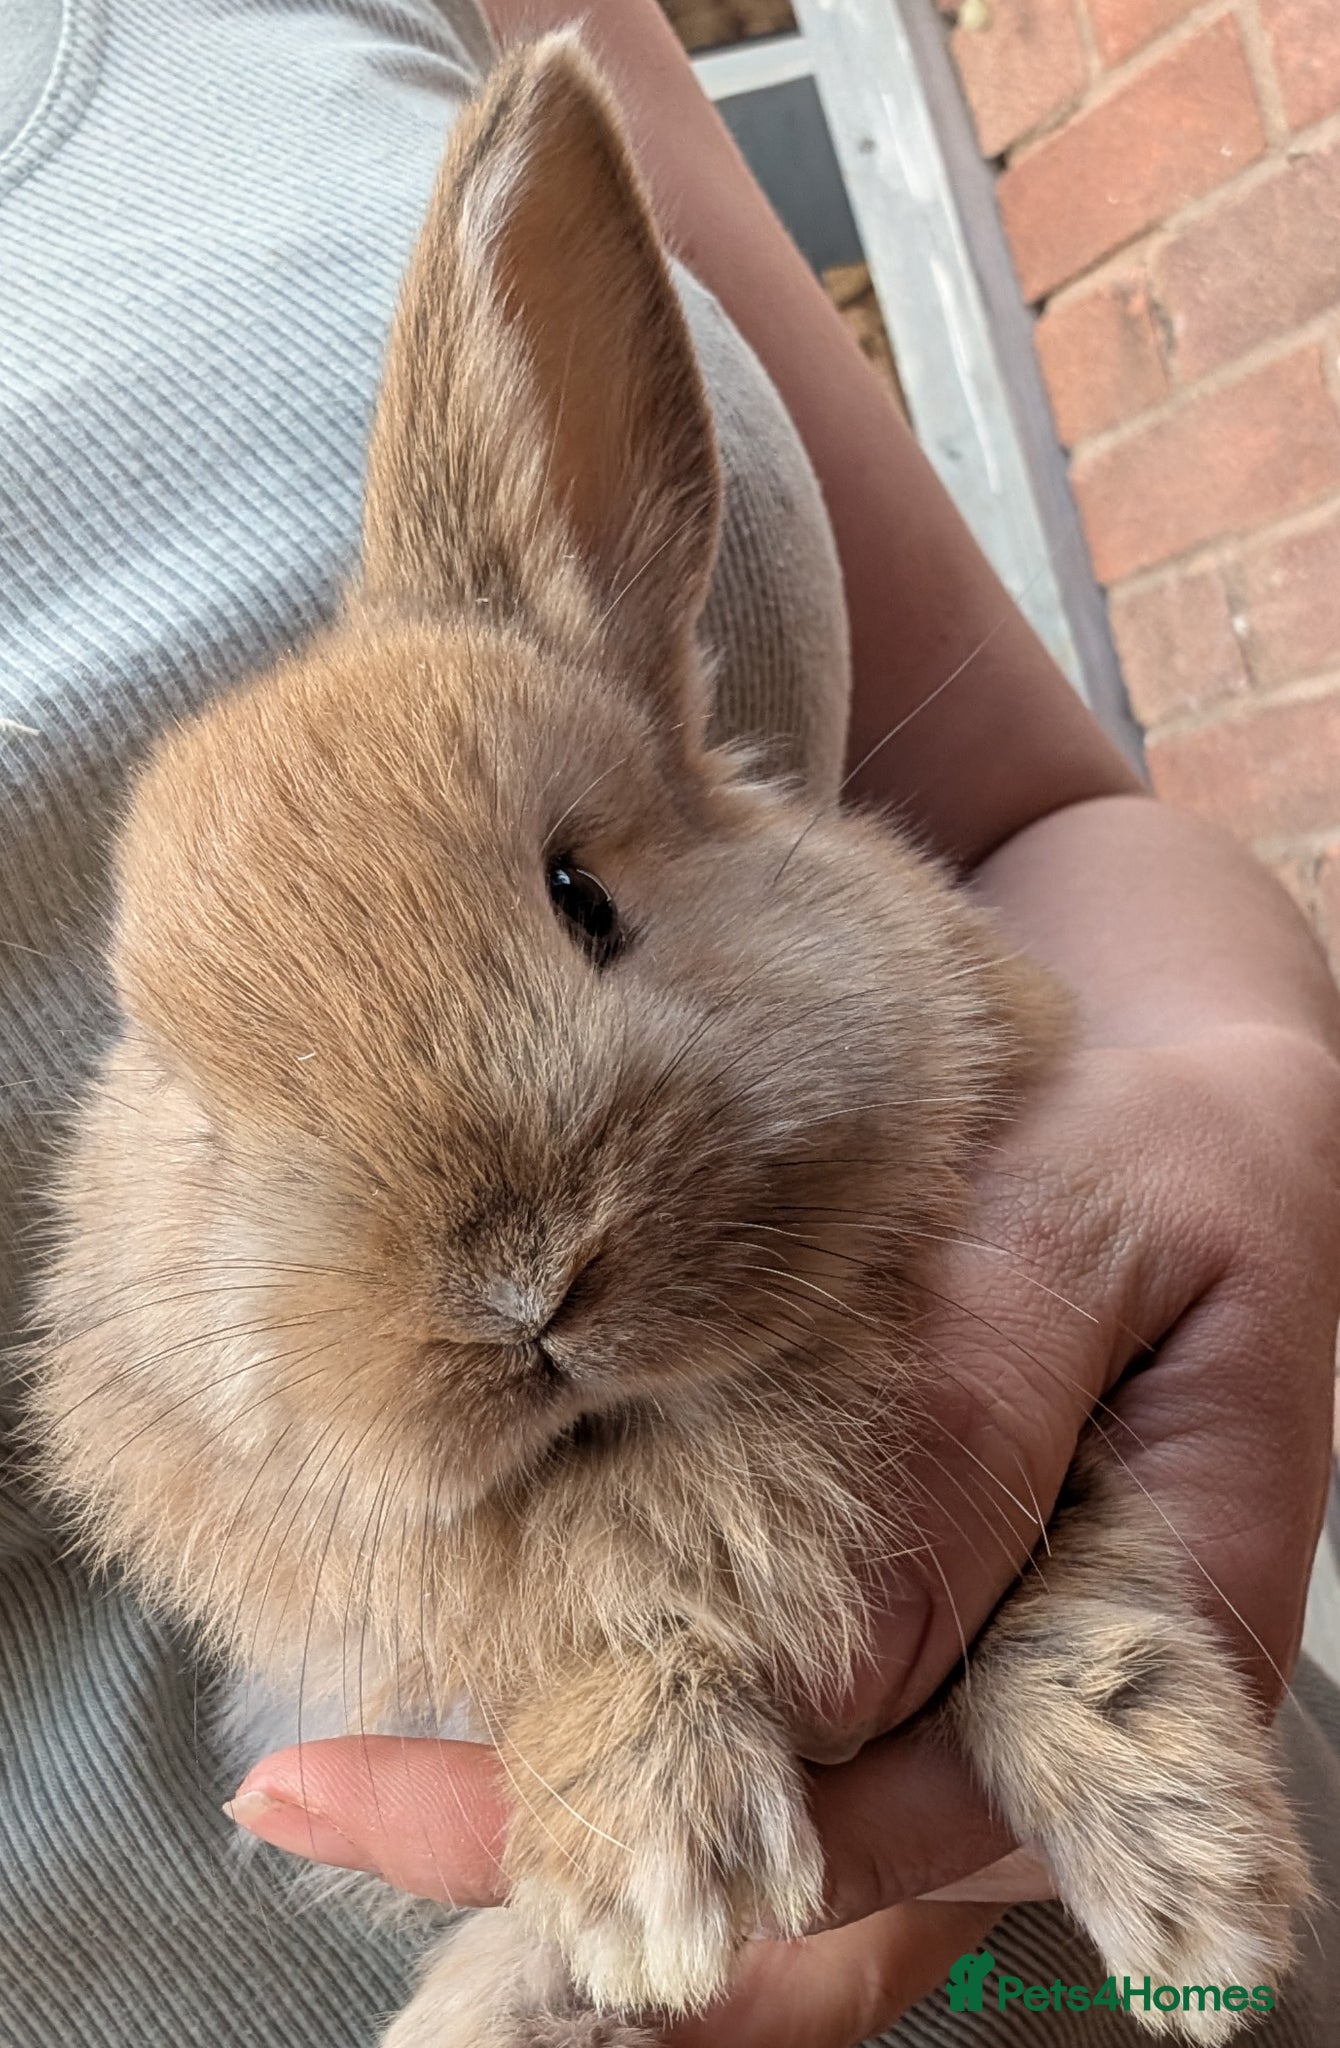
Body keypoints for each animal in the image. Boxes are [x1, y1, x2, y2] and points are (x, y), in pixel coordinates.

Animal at [27, 33, 1308, 2048]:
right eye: (205, 1105)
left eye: (583, 894)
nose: (518, 1282)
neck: (649, 1424)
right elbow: (574, 1628)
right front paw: (647, 1889)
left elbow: (1076, 1589)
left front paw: (1200, 1899)